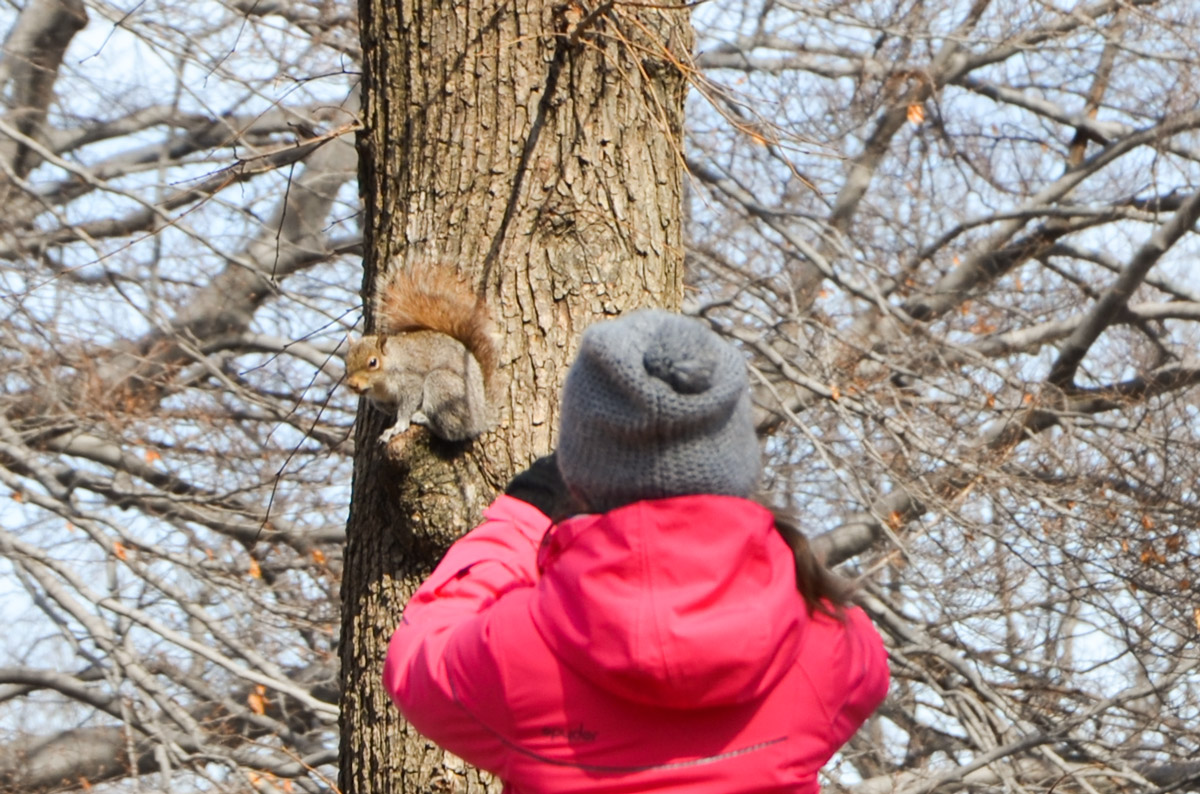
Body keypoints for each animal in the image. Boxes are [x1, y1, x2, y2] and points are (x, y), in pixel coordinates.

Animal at [345, 267, 497, 444]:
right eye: (346, 363)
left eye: (373, 362)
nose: (352, 384)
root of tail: (481, 417)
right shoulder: (379, 399)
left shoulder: (411, 380)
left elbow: (408, 404)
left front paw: (399, 425)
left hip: (444, 387)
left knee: (454, 431)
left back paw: (424, 419)